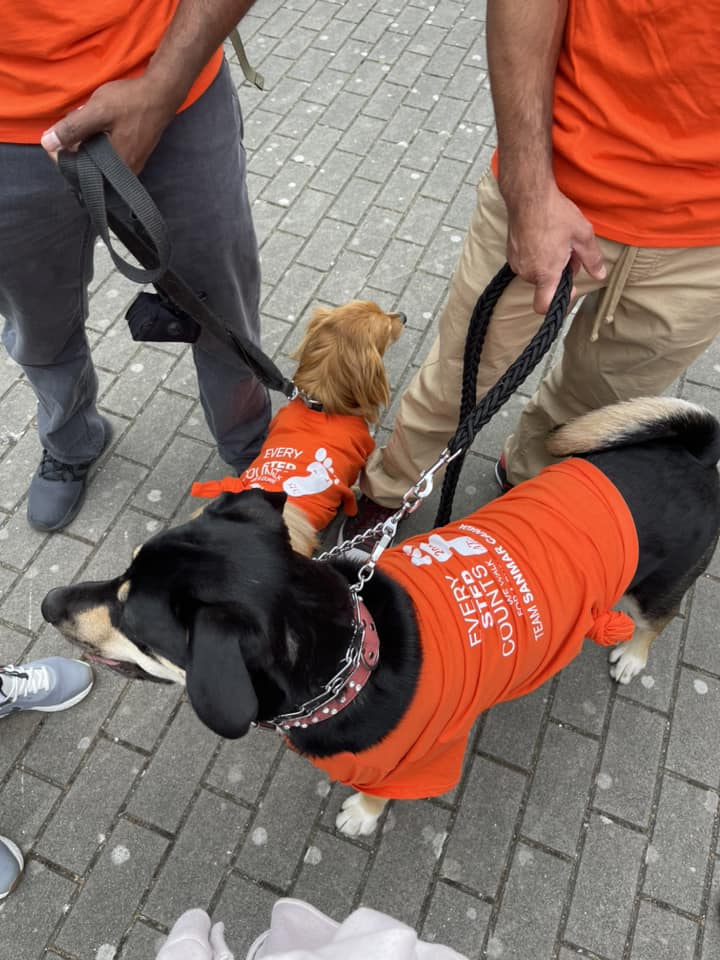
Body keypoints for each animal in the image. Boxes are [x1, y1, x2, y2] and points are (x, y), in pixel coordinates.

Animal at [41, 397, 720, 837]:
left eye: (131, 617)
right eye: (124, 571)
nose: (48, 604)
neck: (353, 664)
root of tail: (692, 455)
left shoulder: (419, 761)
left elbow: (375, 793)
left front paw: (361, 815)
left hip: (657, 587)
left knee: (658, 619)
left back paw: (632, 656)